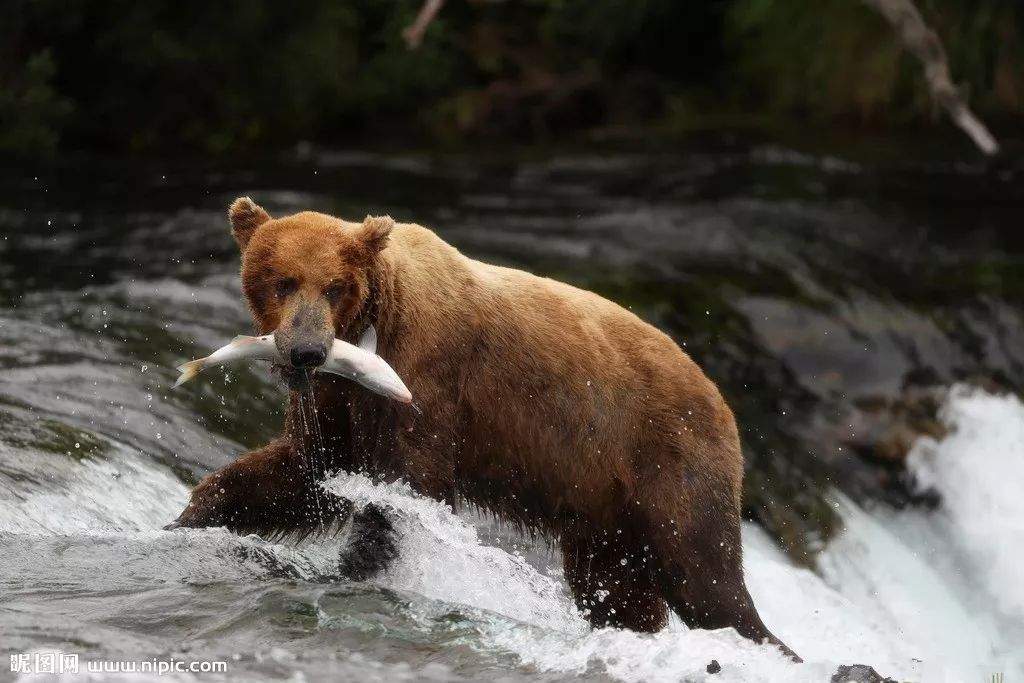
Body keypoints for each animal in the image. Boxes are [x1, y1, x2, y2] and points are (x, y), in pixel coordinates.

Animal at [167, 197, 794, 655]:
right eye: (282, 281)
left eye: (335, 286)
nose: (305, 351)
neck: (372, 324)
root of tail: (721, 398)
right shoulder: (336, 403)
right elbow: (300, 472)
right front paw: (186, 519)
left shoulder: (429, 376)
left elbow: (405, 488)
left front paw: (357, 567)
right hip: (602, 508)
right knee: (616, 587)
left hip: (664, 455)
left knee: (704, 576)